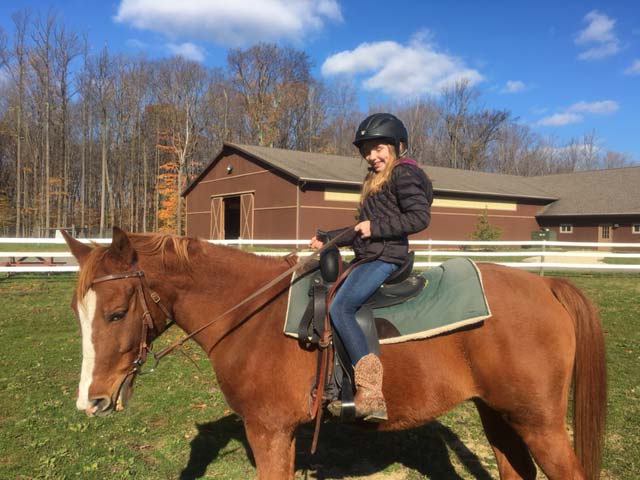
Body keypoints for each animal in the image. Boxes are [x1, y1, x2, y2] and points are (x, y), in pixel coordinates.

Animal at [63, 229, 604, 480]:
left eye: (115, 313)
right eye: (78, 312)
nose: (90, 401)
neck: (253, 316)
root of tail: (546, 285)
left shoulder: (269, 431)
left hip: (540, 423)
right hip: (500, 414)